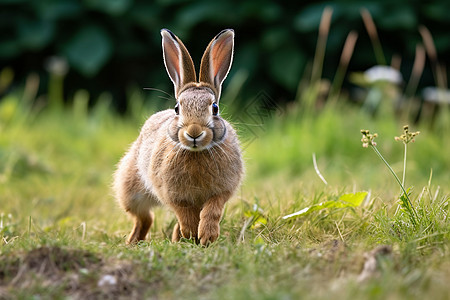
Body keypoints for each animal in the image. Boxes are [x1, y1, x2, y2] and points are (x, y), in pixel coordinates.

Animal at [114, 28, 244, 246]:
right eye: (177, 108)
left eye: (215, 108)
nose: (194, 133)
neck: (196, 153)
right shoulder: (172, 194)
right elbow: (184, 213)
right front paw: (192, 234)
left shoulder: (222, 191)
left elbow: (213, 210)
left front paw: (207, 236)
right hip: (131, 191)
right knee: (144, 218)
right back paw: (133, 242)